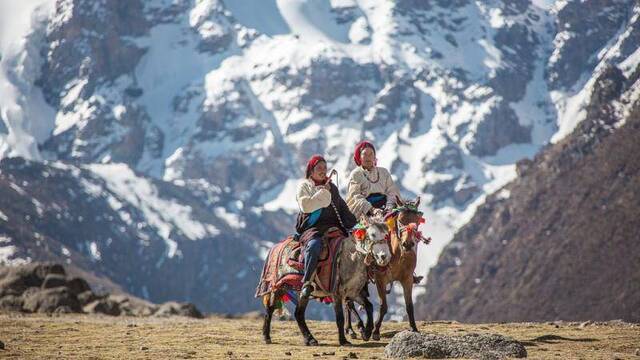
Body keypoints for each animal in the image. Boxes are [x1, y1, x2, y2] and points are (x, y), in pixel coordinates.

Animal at [258, 217, 390, 346]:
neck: (351, 258)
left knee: (297, 313)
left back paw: (309, 339)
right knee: (271, 308)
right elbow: (340, 317)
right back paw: (268, 336)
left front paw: (367, 333)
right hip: (280, 286)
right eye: (372, 234)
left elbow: (369, 306)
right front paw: (343, 340)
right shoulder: (337, 294)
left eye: (387, 234)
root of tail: (275, 247)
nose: (384, 257)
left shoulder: (353, 293)